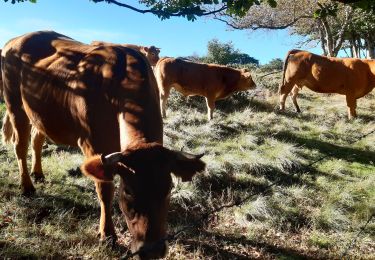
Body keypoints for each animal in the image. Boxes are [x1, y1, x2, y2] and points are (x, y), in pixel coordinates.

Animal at [0, 30, 206, 258]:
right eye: (128, 191)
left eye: (169, 187)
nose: (152, 250)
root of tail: (16, 40)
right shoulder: (94, 143)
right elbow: (105, 190)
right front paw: (107, 235)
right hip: (15, 105)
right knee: (20, 145)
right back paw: (27, 186)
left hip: (40, 113)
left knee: (37, 140)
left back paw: (38, 173)